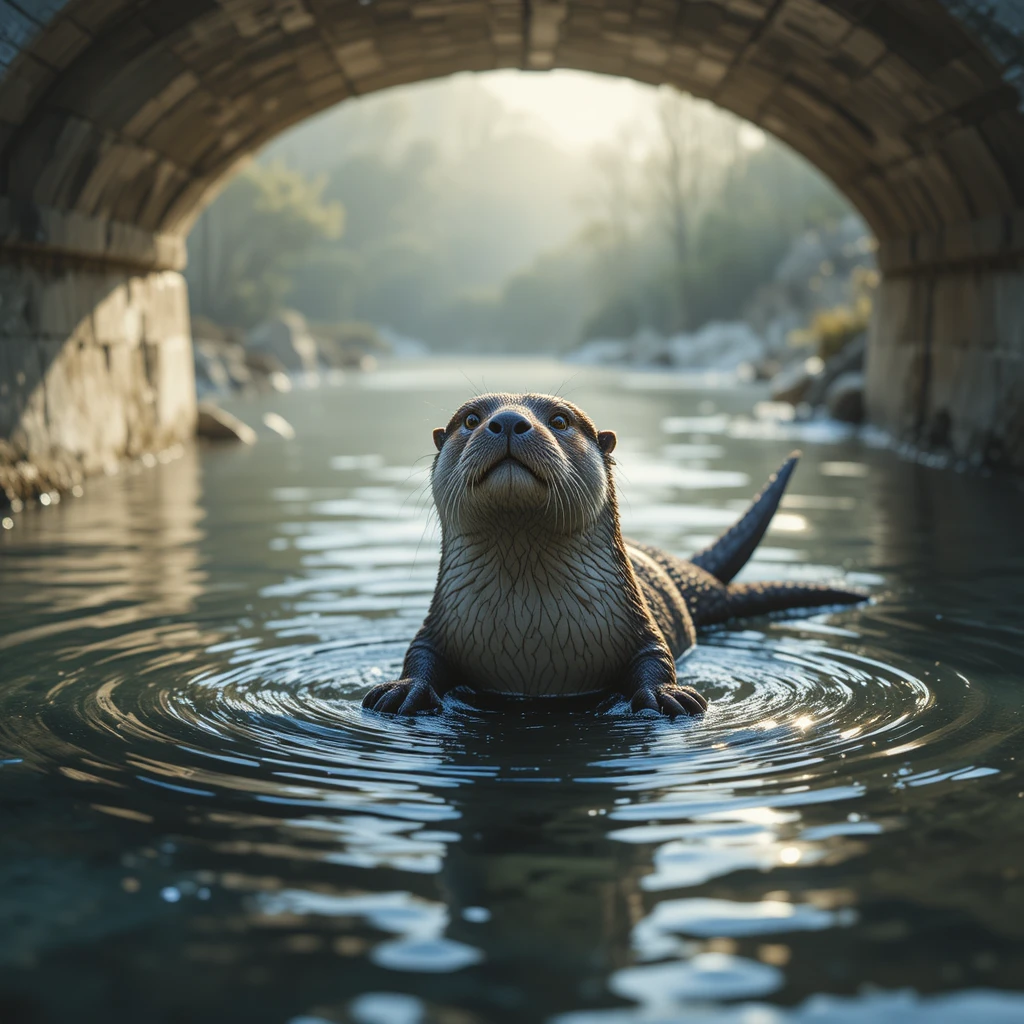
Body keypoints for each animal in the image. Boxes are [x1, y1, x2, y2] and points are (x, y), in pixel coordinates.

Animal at [362, 392, 864, 718]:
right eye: (469, 419)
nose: (506, 421)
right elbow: (420, 654)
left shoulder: (638, 618)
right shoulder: (439, 622)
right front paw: (404, 691)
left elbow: (656, 655)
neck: (529, 628)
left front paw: (667, 696)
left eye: (559, 420)